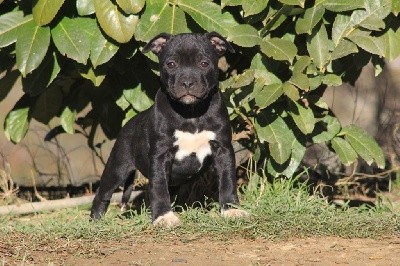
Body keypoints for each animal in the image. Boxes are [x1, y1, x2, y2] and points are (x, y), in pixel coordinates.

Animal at [90, 31, 247, 227]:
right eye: (171, 64)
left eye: (204, 63)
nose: (187, 82)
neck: (191, 113)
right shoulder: (161, 154)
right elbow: (158, 187)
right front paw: (163, 216)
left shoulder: (223, 149)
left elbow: (228, 180)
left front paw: (231, 209)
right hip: (118, 166)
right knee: (103, 192)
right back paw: (96, 221)